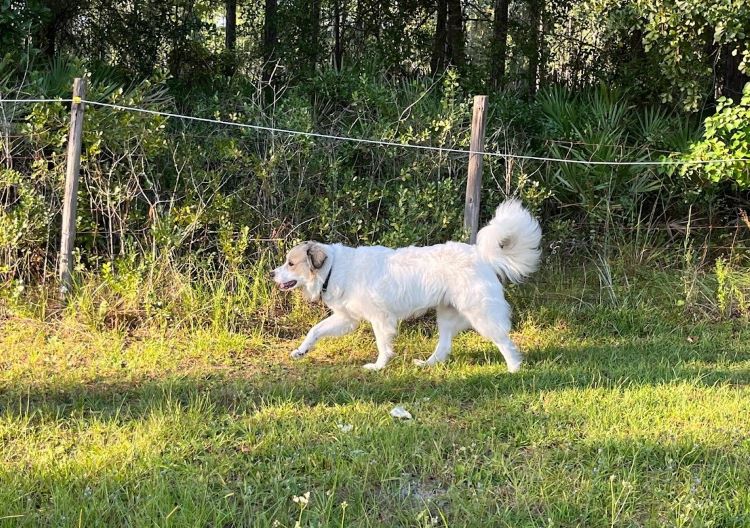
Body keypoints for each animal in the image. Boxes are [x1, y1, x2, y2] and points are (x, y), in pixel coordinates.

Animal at [274, 199, 544, 372]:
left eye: (290, 263)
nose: (271, 273)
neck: (333, 267)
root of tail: (480, 254)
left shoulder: (380, 319)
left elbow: (382, 345)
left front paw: (378, 366)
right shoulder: (346, 319)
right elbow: (315, 331)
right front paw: (301, 351)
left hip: (481, 315)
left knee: (504, 341)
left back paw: (514, 368)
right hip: (447, 316)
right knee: (444, 346)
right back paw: (427, 364)